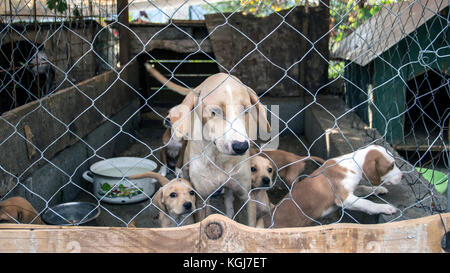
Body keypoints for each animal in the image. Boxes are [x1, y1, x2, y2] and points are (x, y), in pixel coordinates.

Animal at [272, 144, 402, 227]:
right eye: (391, 166)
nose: (402, 176)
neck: (353, 163)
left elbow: (363, 188)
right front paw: (384, 207)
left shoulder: (350, 189)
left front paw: (378, 189)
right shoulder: (345, 199)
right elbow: (367, 203)